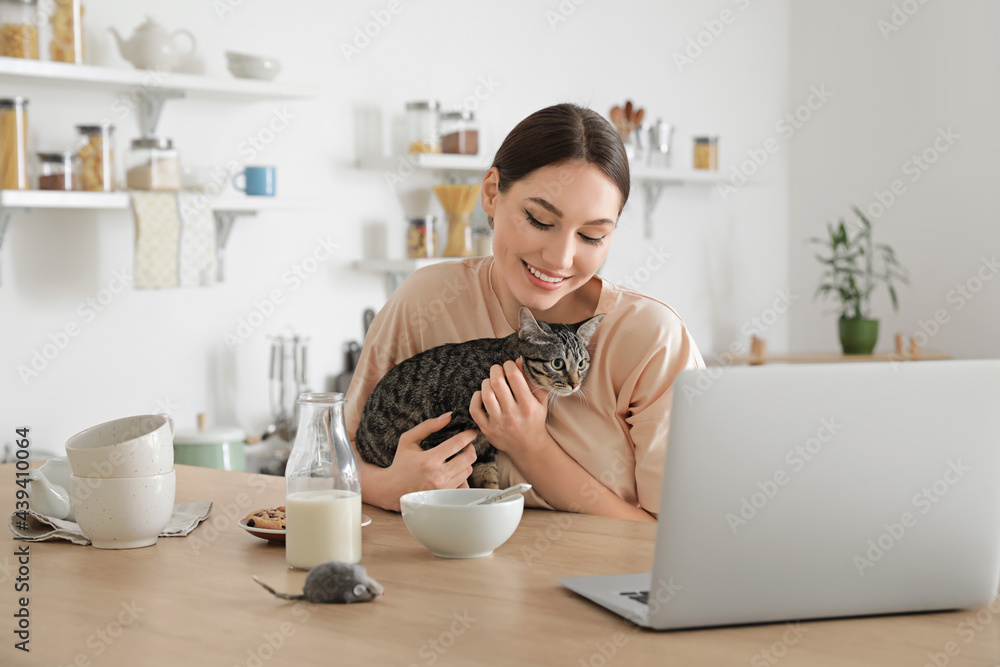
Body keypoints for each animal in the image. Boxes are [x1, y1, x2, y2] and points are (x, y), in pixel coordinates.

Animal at [358, 308, 600, 490]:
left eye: (582, 364)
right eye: (557, 363)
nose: (575, 384)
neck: (501, 359)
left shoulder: (485, 447)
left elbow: (488, 480)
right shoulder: (441, 439)